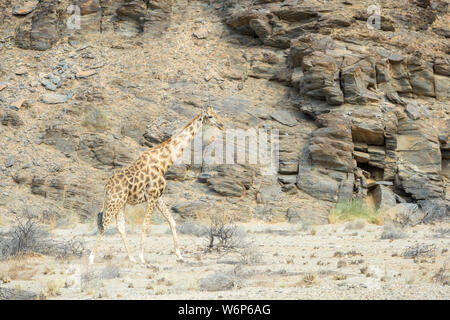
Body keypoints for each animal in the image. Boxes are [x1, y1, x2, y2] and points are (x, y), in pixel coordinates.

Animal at [89, 106, 225, 264]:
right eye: (210, 116)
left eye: (216, 114)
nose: (222, 125)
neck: (164, 162)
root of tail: (106, 187)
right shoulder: (153, 196)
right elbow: (145, 226)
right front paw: (142, 257)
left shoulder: (159, 196)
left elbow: (172, 221)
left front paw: (179, 255)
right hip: (114, 202)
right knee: (103, 225)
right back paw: (91, 259)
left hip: (120, 203)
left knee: (120, 226)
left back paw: (131, 258)